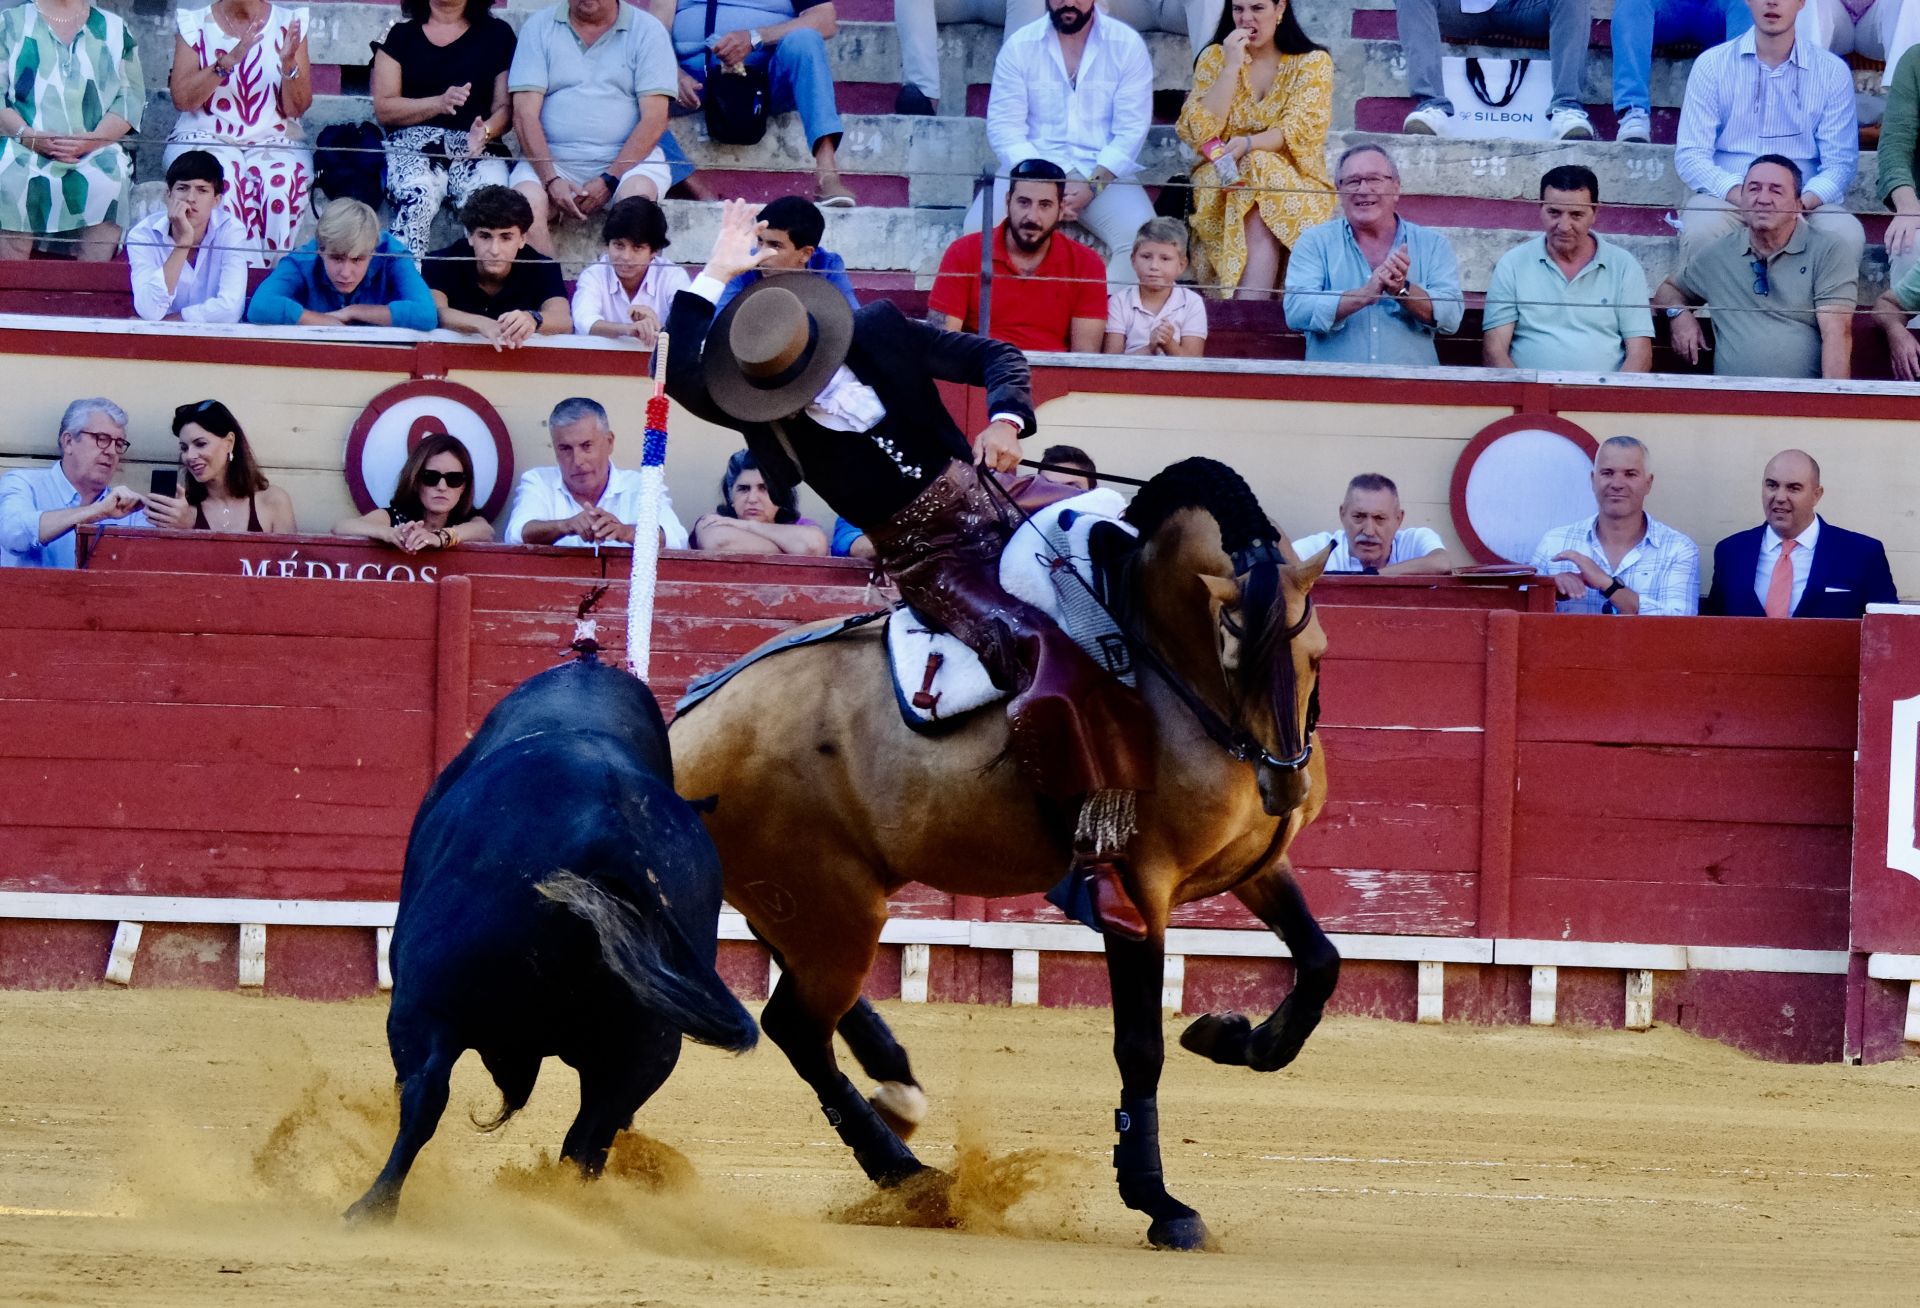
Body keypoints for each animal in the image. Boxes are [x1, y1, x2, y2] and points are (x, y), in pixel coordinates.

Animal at [349, 649, 752, 1221]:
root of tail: (615, 833)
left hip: (429, 1000)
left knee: (424, 1095)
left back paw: (371, 1206)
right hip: (646, 1048)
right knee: (587, 1143)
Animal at [675, 459, 1336, 1244]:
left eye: (1318, 654)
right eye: (1234, 652)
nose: (1284, 783)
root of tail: (685, 728)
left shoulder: (1259, 867)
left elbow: (1320, 962)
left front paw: (1226, 1034)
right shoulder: (1139, 888)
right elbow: (1139, 1045)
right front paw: (1159, 1202)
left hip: (801, 902)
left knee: (806, 1002)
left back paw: (898, 1091)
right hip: (835, 905)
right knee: (797, 1027)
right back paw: (912, 1176)